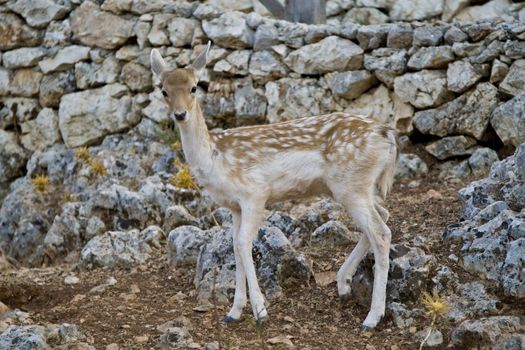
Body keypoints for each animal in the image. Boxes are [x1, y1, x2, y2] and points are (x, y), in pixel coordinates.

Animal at [150, 42, 398, 330]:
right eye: (163, 90)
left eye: (193, 87)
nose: (180, 114)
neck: (216, 159)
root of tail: (388, 135)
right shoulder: (234, 206)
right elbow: (234, 245)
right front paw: (234, 312)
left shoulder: (255, 194)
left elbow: (243, 243)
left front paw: (260, 312)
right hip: (359, 186)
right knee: (384, 216)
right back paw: (344, 284)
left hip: (351, 184)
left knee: (381, 233)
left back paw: (372, 317)